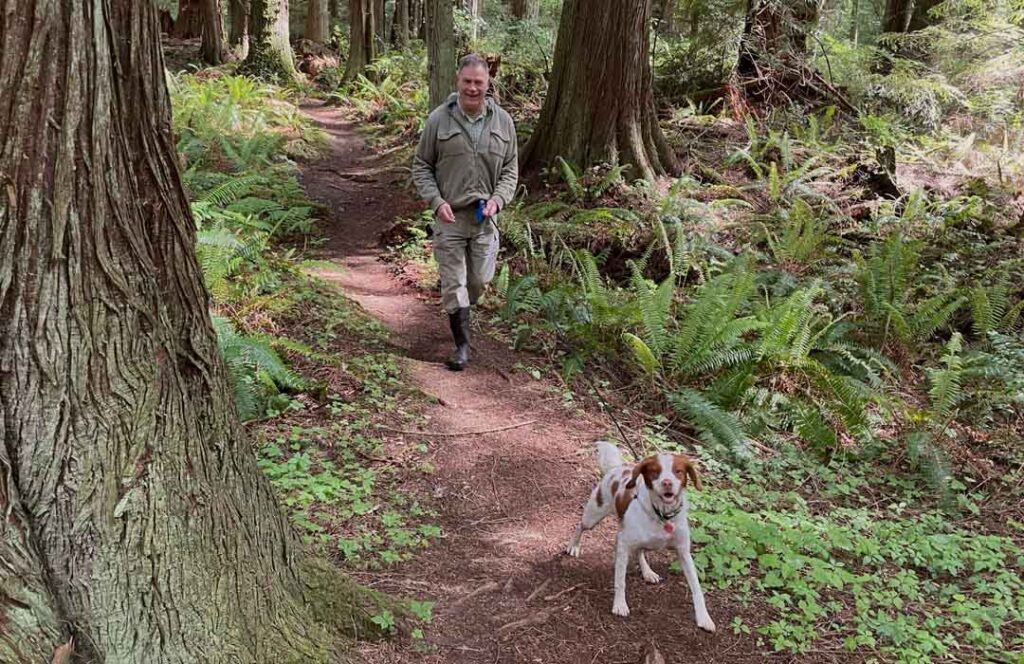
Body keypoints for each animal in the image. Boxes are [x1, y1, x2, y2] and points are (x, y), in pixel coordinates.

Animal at [565, 440, 716, 631]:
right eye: (655, 472)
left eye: (678, 471)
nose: (667, 482)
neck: (662, 515)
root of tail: (617, 468)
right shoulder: (624, 543)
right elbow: (620, 580)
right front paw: (619, 604)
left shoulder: (683, 552)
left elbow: (697, 588)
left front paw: (704, 618)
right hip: (593, 516)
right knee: (580, 526)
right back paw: (574, 546)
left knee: (640, 551)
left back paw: (647, 572)